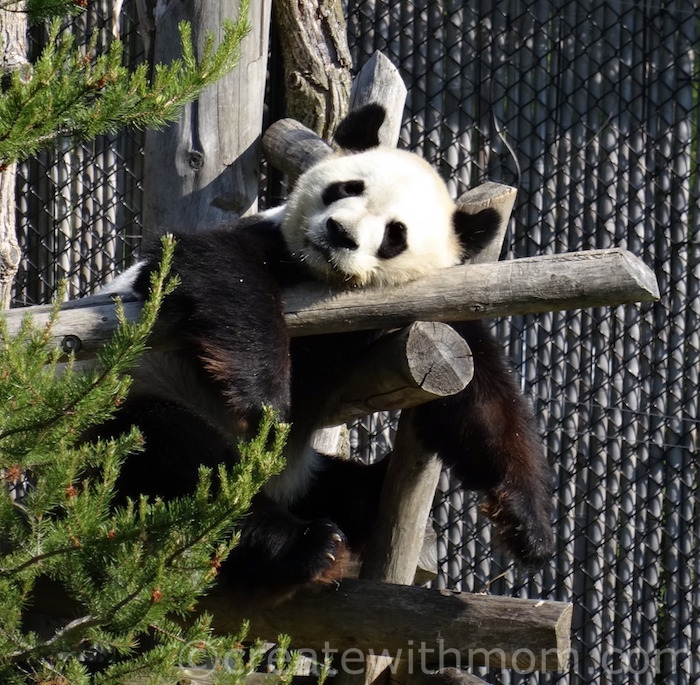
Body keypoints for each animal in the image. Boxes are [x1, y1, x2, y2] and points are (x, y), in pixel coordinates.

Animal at [98, 104, 554, 602]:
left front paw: (527, 526)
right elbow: (212, 267)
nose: (340, 233)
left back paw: (362, 504)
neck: (327, 281)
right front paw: (265, 400)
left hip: (304, 475)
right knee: (178, 460)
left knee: (337, 488)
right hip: (132, 405)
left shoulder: (428, 311)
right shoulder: (266, 245)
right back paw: (301, 546)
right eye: (347, 188)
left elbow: (482, 398)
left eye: (395, 234)